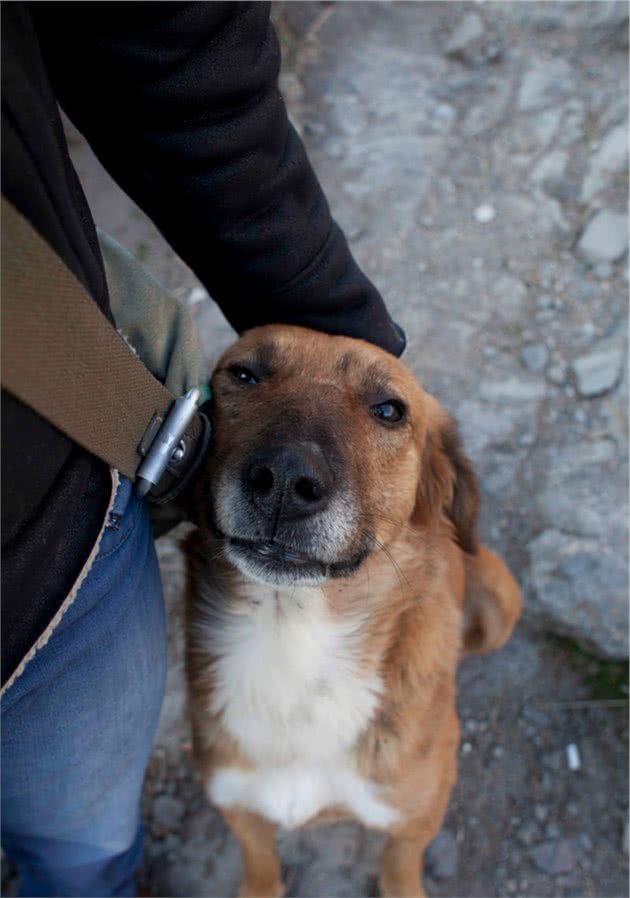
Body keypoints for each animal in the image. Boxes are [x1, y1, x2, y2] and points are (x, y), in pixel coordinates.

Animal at [185, 324, 520, 896]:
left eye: (389, 410)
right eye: (244, 374)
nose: (283, 479)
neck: (291, 638)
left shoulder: (413, 821)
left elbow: (399, 873)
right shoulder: (238, 803)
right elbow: (260, 868)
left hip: (502, 601)